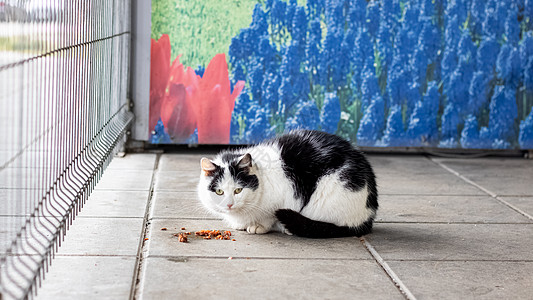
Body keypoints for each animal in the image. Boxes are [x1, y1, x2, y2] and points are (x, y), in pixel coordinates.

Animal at [196, 130, 378, 238]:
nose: (229, 204)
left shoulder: (280, 199)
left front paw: (258, 226)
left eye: (238, 190)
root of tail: (368, 216)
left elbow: (267, 217)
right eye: (219, 192)